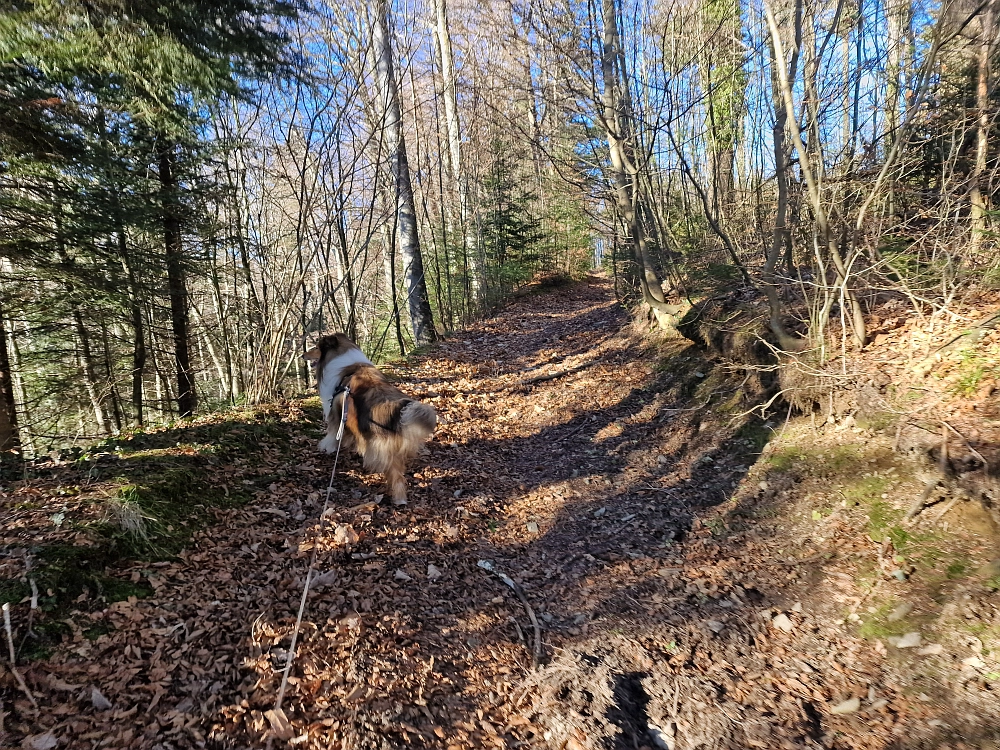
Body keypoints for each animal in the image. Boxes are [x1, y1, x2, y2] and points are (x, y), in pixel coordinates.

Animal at [304, 334, 438, 506]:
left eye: (316, 347)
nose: (302, 355)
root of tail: (393, 409)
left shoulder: (335, 414)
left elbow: (332, 434)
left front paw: (326, 448)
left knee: (394, 475)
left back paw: (396, 496)